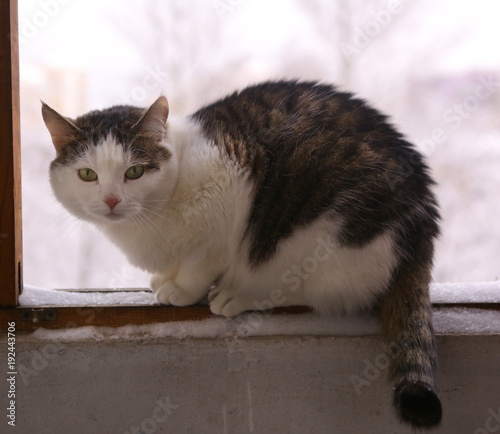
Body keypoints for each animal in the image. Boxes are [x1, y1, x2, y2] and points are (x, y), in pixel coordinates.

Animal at [42, 79, 442, 428]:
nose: (111, 200)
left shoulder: (227, 197)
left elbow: (201, 262)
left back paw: (241, 294)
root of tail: (423, 226)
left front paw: (181, 289)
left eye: (135, 171)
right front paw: (164, 279)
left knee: (309, 290)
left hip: (325, 234)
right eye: (88, 174)